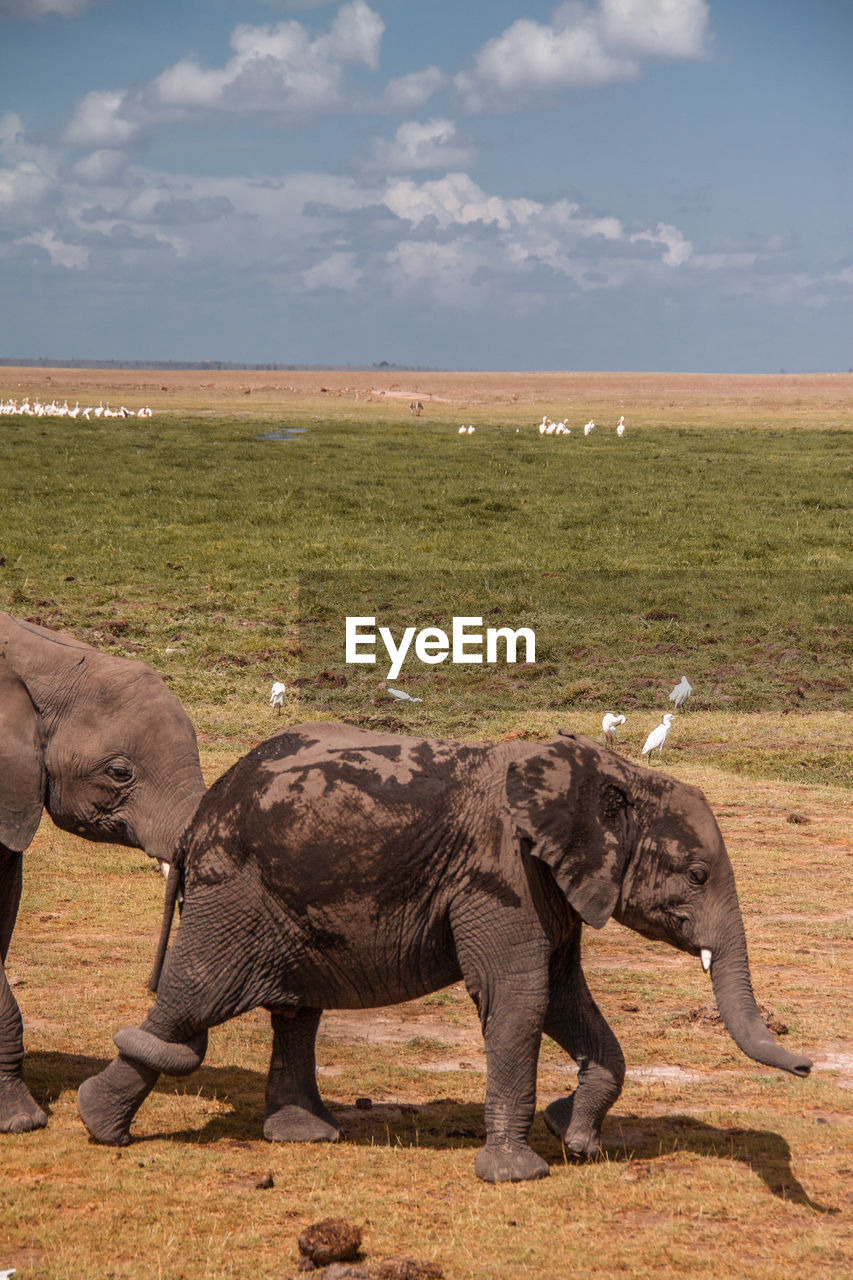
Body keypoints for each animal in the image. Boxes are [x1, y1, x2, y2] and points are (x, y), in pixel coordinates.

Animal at [76, 727, 809, 1182]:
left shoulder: (549, 884)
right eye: (695, 875)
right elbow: (520, 1000)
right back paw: (99, 1124)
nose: (804, 1066)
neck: (605, 771)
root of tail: (200, 816)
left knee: (295, 1011)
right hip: (233, 891)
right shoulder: (500, 875)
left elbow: (564, 998)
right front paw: (518, 1174)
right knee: (192, 1000)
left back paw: (307, 1135)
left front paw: (575, 1137)